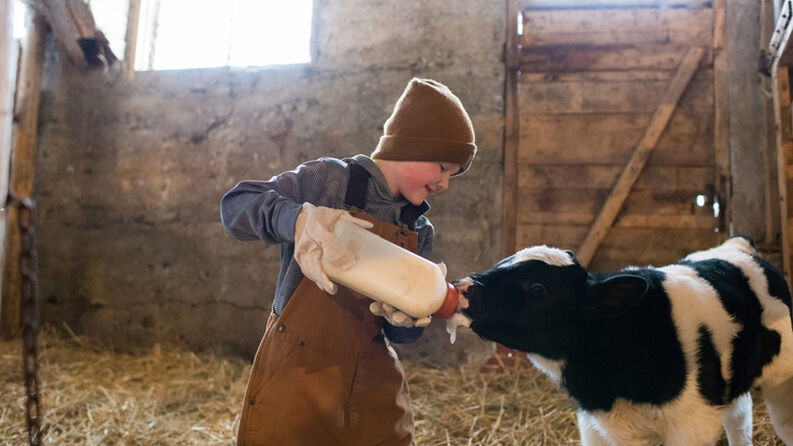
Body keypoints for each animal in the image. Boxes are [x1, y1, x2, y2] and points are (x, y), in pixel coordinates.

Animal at [452, 235, 792, 444]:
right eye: (501, 263)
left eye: (537, 288)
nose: (464, 286)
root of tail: (738, 245)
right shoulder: (595, 427)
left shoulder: (692, 426)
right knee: (740, 415)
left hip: (781, 381)